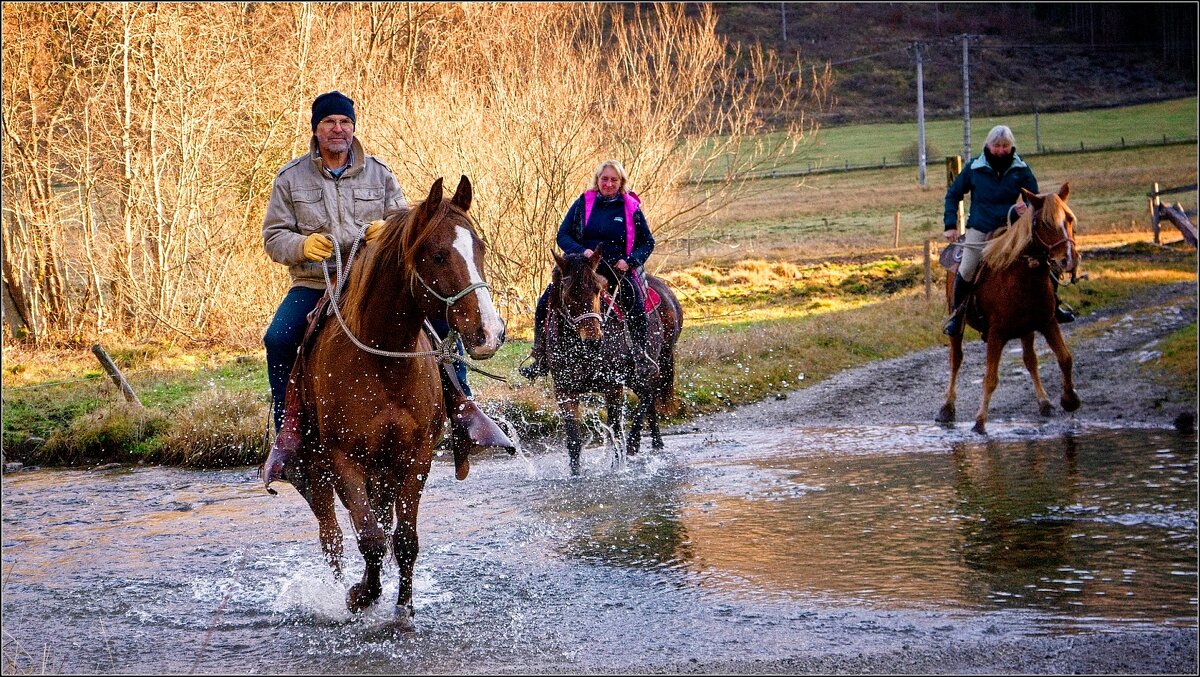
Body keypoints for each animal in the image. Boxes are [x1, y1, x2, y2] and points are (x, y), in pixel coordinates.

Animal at [284, 174, 501, 628]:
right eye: (438, 255)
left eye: (480, 248)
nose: (489, 332)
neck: (382, 358)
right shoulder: (343, 459)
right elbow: (369, 538)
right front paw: (360, 596)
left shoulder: (414, 458)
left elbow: (403, 539)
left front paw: (403, 607)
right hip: (318, 469)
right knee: (332, 536)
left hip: (383, 471)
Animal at [547, 249, 686, 475]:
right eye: (568, 293)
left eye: (598, 290)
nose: (593, 340)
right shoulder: (564, 392)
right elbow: (574, 440)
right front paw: (575, 474)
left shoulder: (613, 387)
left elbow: (614, 433)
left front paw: (616, 468)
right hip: (635, 378)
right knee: (648, 399)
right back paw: (654, 443)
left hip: (655, 363)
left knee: (649, 394)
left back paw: (635, 443)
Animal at [931, 182, 1084, 434]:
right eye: (1045, 223)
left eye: (1070, 219)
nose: (1068, 260)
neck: (1020, 275)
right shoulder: (997, 334)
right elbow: (990, 378)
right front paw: (980, 422)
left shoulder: (1047, 322)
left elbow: (1065, 358)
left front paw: (1070, 400)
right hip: (958, 326)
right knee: (956, 360)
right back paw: (946, 407)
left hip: (1027, 330)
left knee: (1030, 360)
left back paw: (1044, 402)